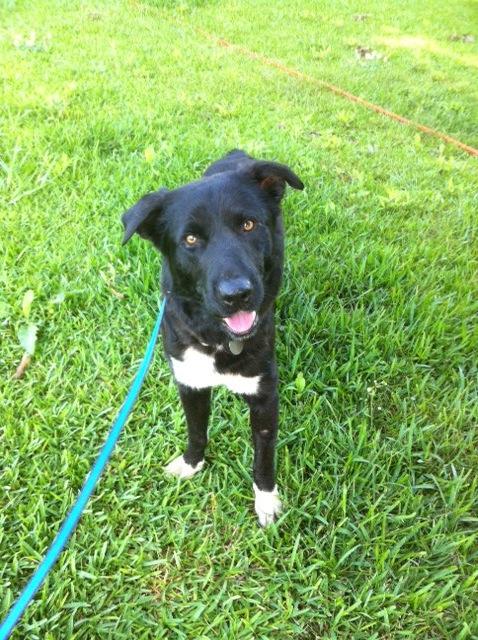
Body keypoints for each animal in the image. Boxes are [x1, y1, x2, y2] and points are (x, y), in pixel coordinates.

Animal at [122, 151, 302, 524]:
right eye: (190, 240)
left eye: (248, 225)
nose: (237, 295)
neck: (218, 338)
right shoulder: (189, 384)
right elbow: (196, 431)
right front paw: (192, 464)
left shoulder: (265, 397)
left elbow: (264, 456)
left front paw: (266, 499)